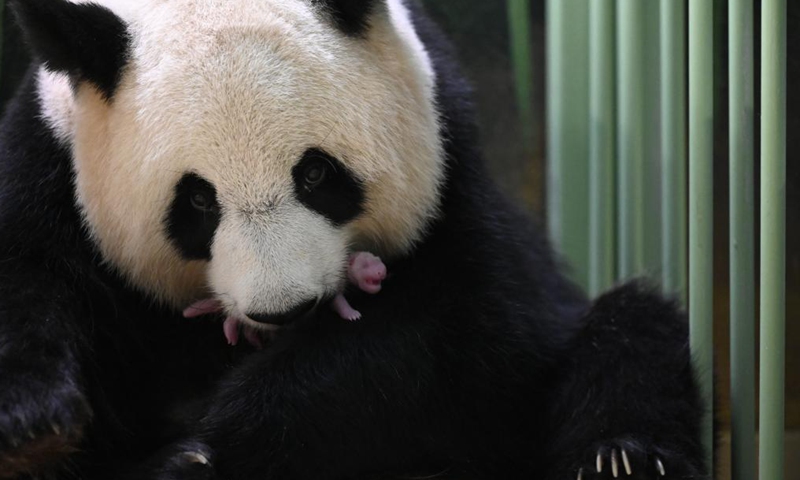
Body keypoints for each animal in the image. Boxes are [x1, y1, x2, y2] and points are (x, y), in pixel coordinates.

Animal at [0, 0, 707, 479]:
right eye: (196, 201)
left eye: (316, 174)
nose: (283, 310)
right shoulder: (52, 160)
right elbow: (27, 277)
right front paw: (38, 429)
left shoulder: (449, 168)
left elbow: (448, 336)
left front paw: (213, 441)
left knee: (632, 332)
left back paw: (619, 457)